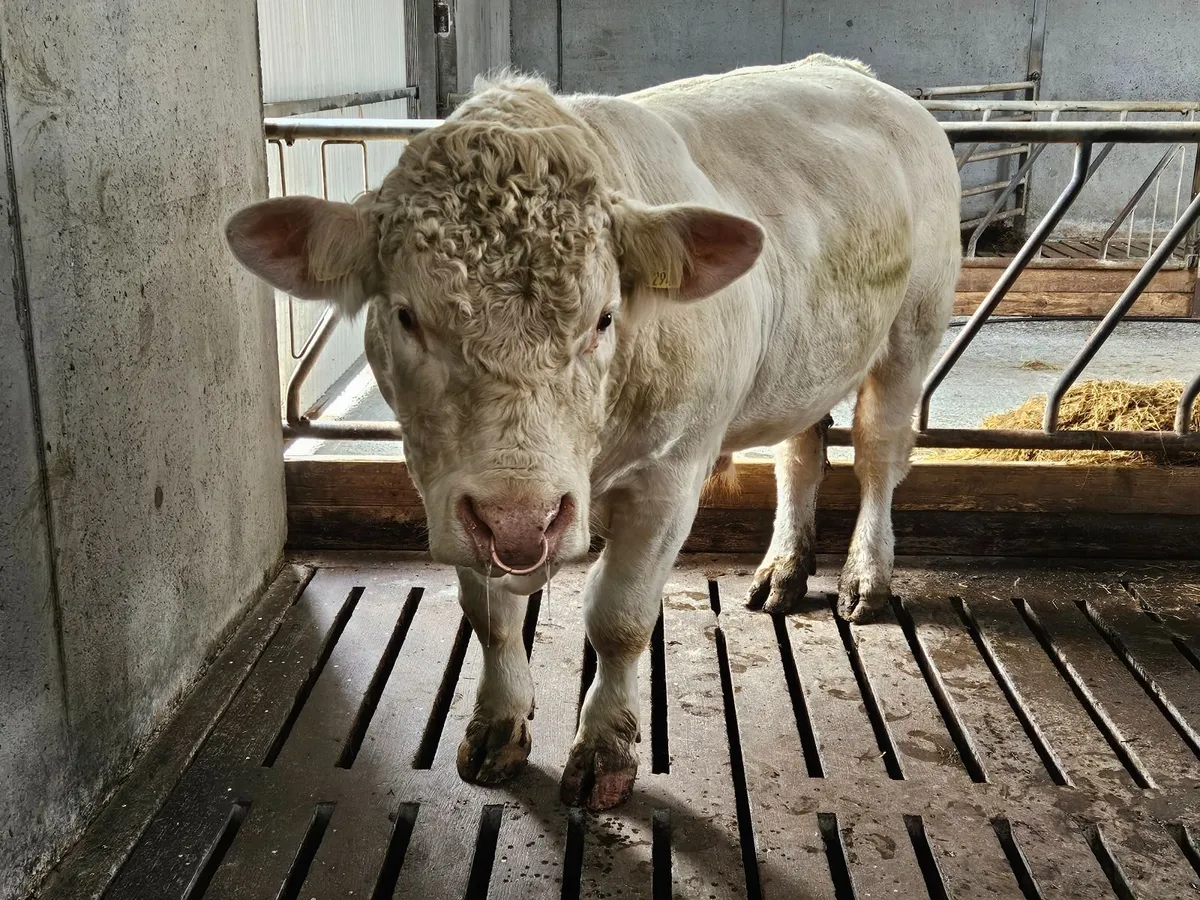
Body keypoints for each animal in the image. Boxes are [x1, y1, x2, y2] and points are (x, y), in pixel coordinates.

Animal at [225, 55, 961, 811]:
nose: (521, 519)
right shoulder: (446, 484)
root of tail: (851, 72)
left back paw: (865, 576)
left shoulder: (671, 475)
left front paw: (606, 750)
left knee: (877, 455)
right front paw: (497, 727)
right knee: (800, 453)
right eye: (406, 316)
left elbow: (620, 618)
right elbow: (488, 613)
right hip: (807, 360)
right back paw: (784, 570)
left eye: (605, 317)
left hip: (913, 329)